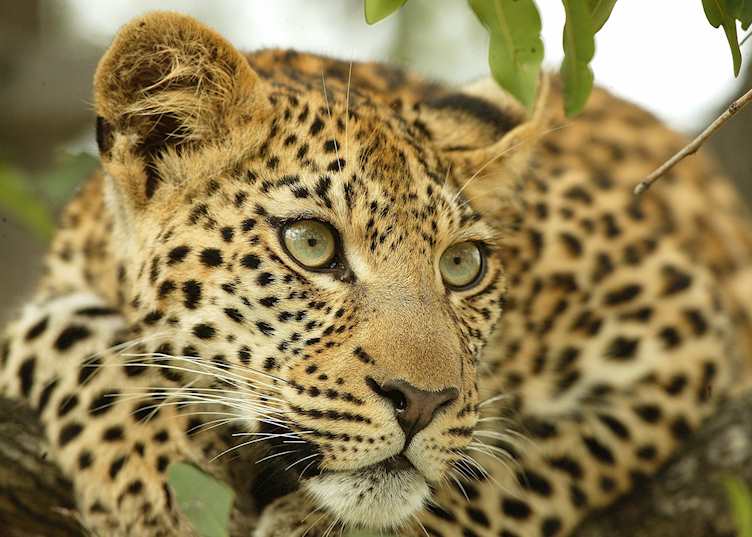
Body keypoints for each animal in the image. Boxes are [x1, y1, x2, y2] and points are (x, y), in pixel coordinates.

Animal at [2, 10, 752, 537]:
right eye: (310, 244)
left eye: (462, 265)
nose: (419, 402)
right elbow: (64, 340)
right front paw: (141, 481)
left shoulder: (673, 316)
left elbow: (522, 471)